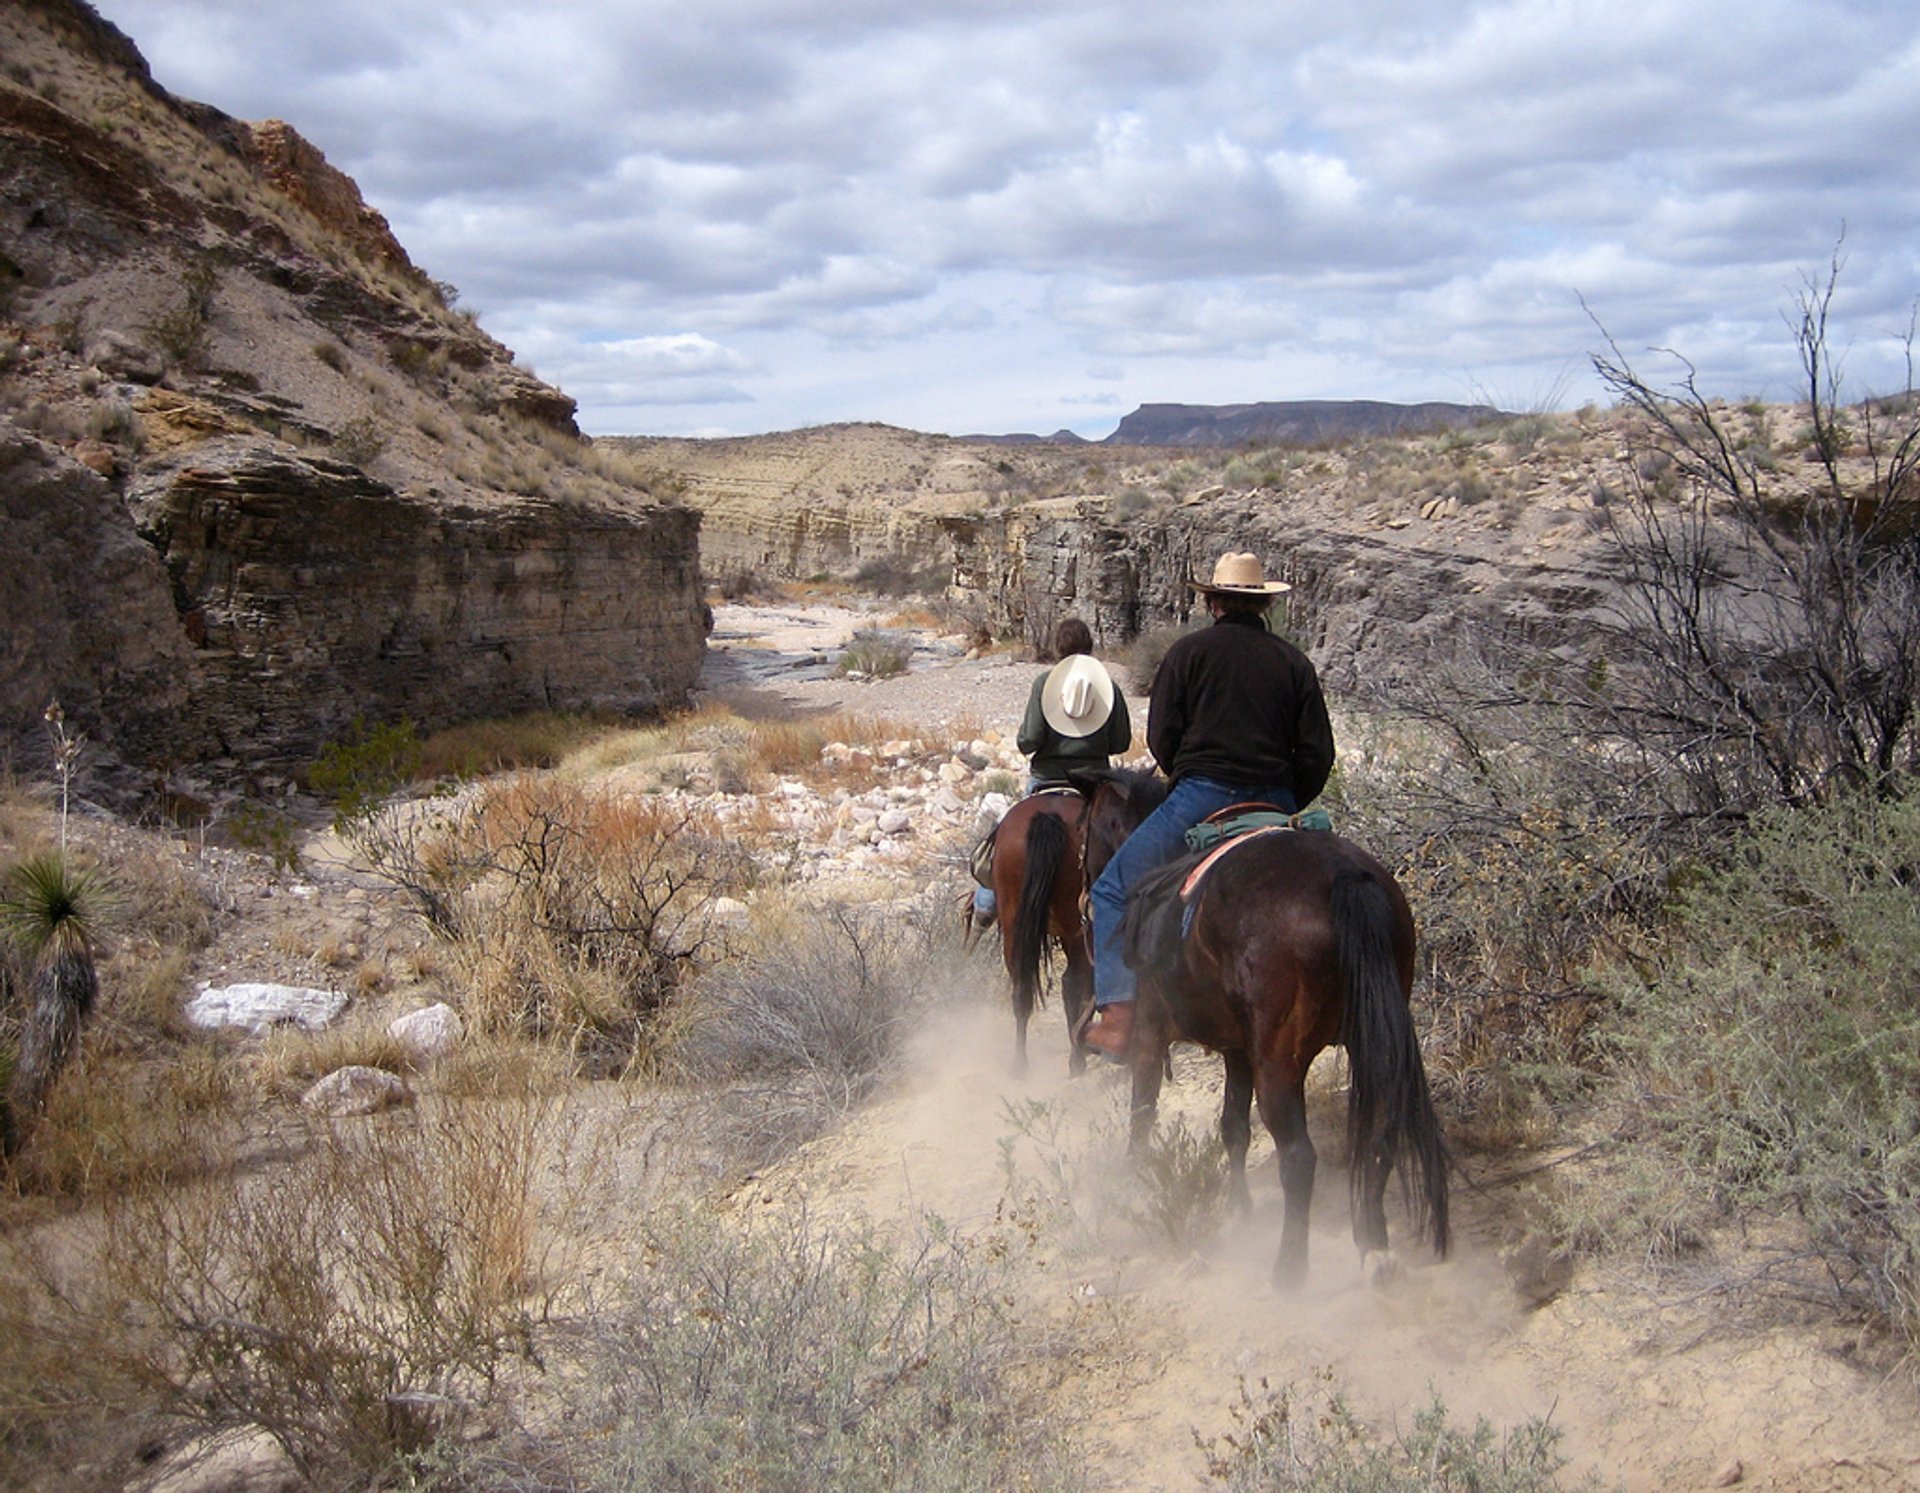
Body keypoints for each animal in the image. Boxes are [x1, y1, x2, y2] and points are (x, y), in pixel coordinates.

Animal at [975, 790, 1098, 1066]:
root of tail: (1047, 818)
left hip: (1014, 923)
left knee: (1021, 989)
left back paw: (1020, 1065)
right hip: (1075, 926)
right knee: (1072, 981)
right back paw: (1077, 1060)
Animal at [1075, 763, 1443, 1281]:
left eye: (1082, 830)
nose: (1083, 894)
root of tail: (1342, 876)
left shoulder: (1150, 1035)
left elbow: (1142, 1115)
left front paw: (1133, 1187)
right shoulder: (1237, 1051)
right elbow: (1233, 1127)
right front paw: (1241, 1212)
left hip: (1280, 1060)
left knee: (1299, 1156)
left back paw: (1289, 1270)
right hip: (1371, 1043)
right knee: (1379, 1138)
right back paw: (1374, 1248)